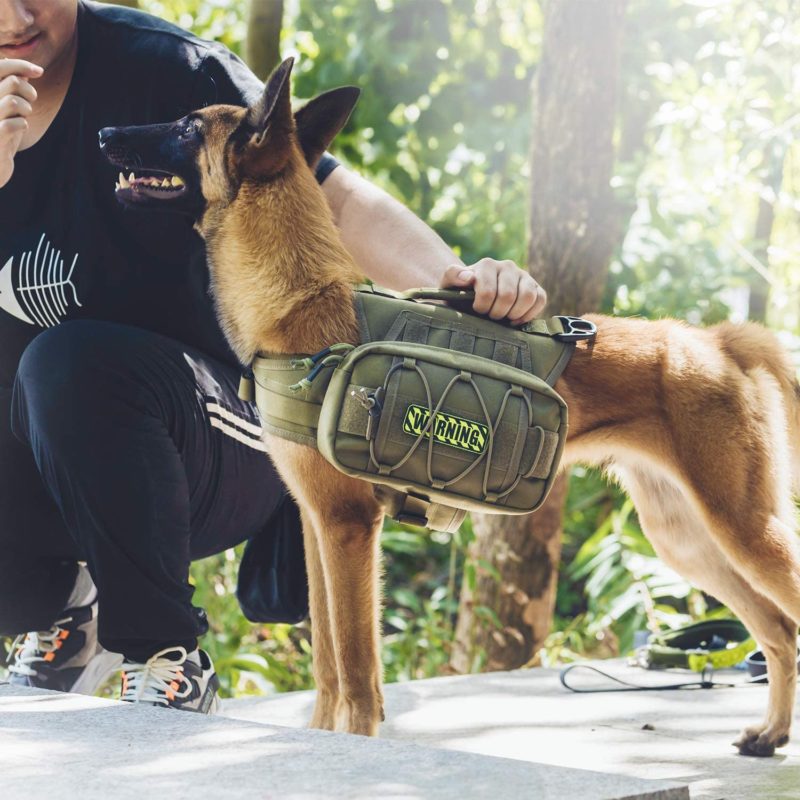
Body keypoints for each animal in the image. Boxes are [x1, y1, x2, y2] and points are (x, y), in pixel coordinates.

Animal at [100, 59, 800, 752]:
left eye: (187, 127)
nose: (106, 132)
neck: (303, 303)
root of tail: (717, 340)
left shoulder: (349, 527)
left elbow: (356, 669)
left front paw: (357, 744)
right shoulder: (316, 524)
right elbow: (327, 665)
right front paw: (323, 738)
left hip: (742, 529)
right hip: (688, 540)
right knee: (778, 631)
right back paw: (769, 734)